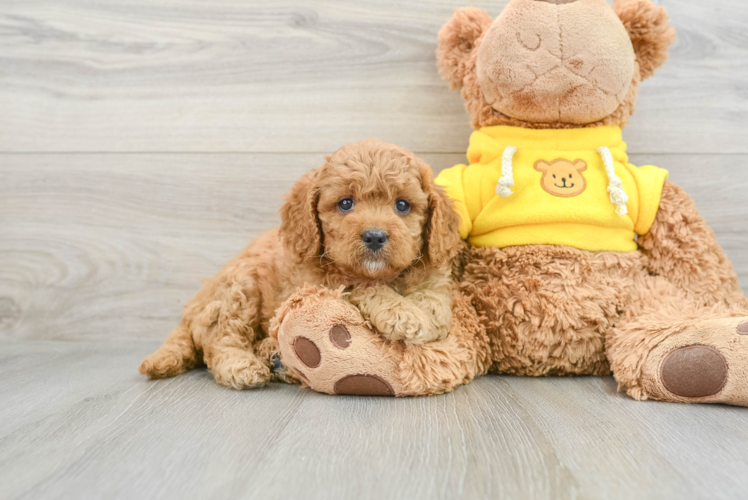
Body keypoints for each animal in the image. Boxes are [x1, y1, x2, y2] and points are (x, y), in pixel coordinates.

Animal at [137, 139, 458, 388]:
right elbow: (361, 285)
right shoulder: (322, 281)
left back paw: (274, 356)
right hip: (237, 289)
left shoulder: (433, 273)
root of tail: (188, 312)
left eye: (402, 205)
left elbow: (436, 298)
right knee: (221, 342)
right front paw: (404, 314)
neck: (386, 275)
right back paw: (244, 366)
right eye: (345, 203)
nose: (375, 236)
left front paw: (427, 315)